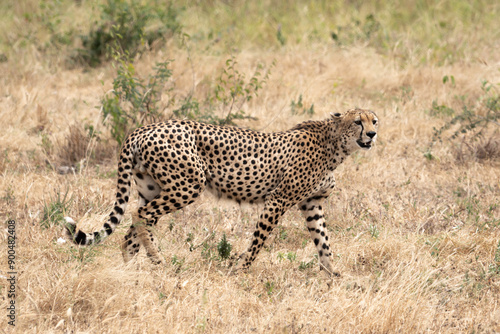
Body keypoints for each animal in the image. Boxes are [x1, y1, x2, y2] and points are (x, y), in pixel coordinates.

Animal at [66, 108, 378, 276]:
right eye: (357, 122)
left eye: (374, 120)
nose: (373, 135)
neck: (335, 144)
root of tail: (143, 128)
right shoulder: (278, 200)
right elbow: (258, 241)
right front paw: (241, 269)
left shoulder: (311, 204)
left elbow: (323, 241)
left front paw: (333, 275)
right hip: (188, 185)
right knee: (140, 215)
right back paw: (157, 258)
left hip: (153, 188)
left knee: (133, 226)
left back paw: (131, 268)